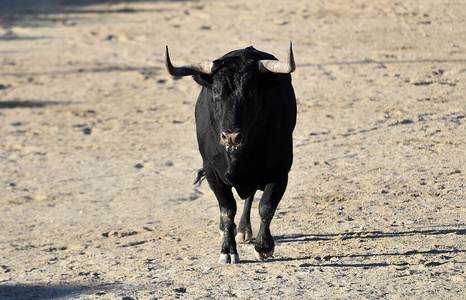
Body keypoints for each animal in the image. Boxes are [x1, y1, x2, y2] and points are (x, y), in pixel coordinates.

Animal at [165, 41, 294, 262]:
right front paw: (227, 250)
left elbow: (266, 207)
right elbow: (227, 209)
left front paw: (264, 246)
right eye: (216, 91)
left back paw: (244, 230)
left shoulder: (280, 170)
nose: (231, 136)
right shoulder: (211, 171)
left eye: (252, 91)